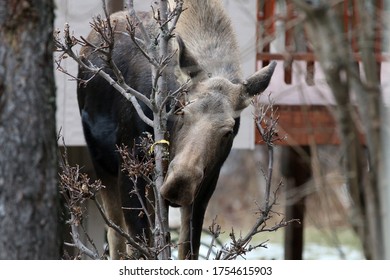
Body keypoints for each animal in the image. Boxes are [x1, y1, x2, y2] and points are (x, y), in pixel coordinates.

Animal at [77, 0, 276, 260]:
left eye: (229, 131)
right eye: (181, 110)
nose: (180, 183)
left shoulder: (206, 185)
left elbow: (187, 249)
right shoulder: (129, 168)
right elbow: (141, 246)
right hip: (102, 163)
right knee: (116, 239)